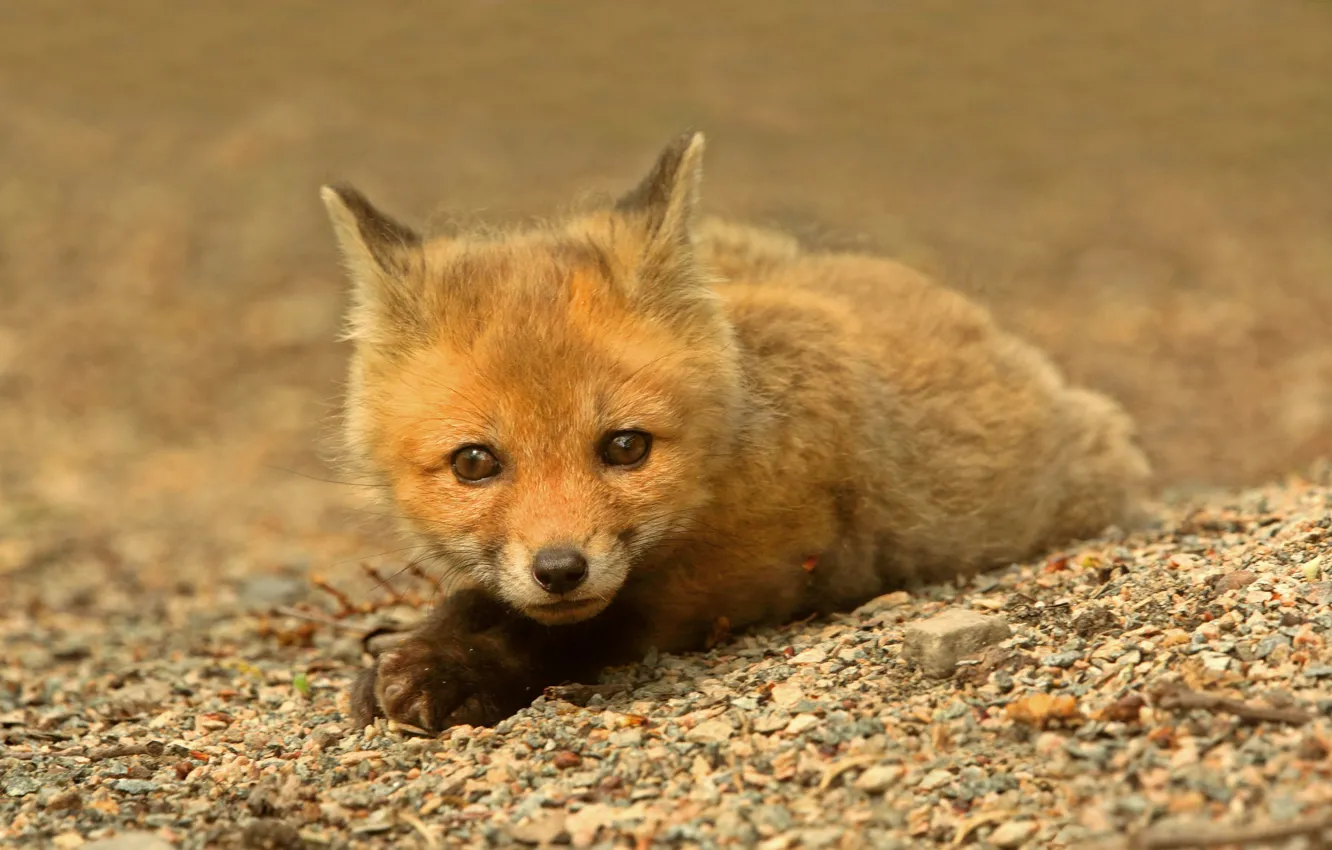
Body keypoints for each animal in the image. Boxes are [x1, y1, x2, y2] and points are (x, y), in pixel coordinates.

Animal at [320, 131, 1152, 734]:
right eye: (475, 463)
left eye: (626, 447)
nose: (560, 569)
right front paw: (422, 646)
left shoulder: (757, 564)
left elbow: (585, 628)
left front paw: (457, 669)